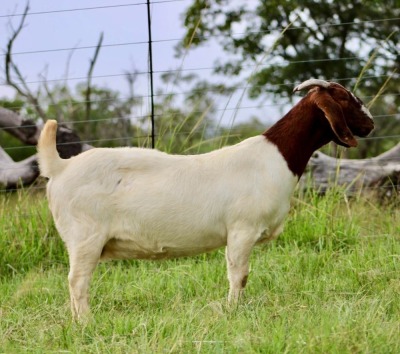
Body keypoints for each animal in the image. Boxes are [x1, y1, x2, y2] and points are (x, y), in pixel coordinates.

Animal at [38, 79, 376, 320]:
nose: (371, 124)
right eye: (345, 98)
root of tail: (60, 166)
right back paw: (86, 323)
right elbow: (239, 275)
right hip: (85, 237)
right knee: (77, 282)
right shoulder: (242, 230)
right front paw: (233, 311)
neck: (273, 157)